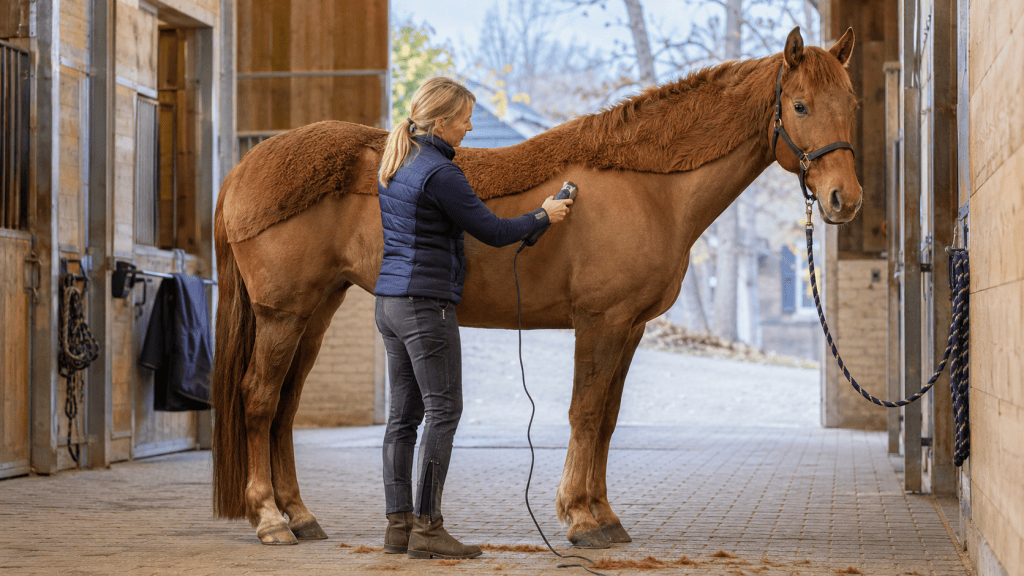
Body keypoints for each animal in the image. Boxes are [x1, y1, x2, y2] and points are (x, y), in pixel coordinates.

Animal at [211, 27, 861, 547]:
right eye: (799, 104)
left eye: (851, 103)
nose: (843, 200)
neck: (649, 188)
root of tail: (245, 169)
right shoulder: (600, 321)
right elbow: (585, 412)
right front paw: (582, 519)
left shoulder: (629, 328)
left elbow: (608, 419)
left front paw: (603, 514)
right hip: (281, 313)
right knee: (260, 400)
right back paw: (270, 520)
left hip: (316, 311)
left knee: (286, 406)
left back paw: (300, 516)